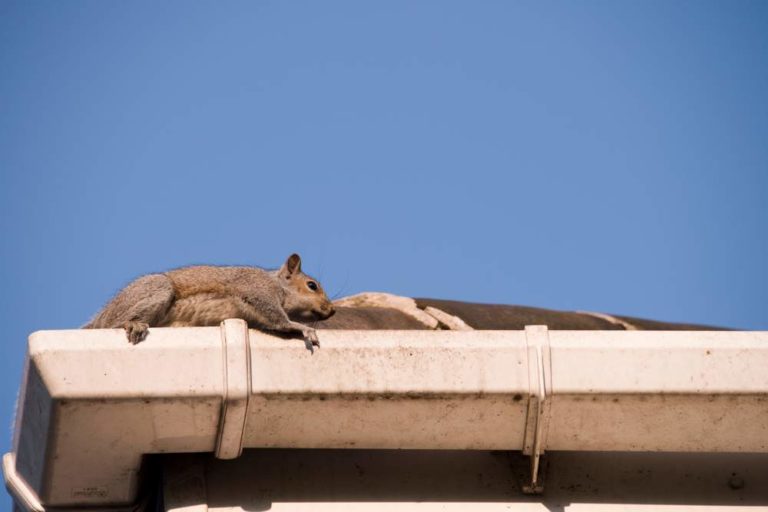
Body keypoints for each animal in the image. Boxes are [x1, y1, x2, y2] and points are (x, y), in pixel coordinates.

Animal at [83, 253, 335, 348]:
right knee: (115, 324)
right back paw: (133, 324)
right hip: (156, 289)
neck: (278, 285)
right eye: (312, 285)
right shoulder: (256, 289)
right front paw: (303, 328)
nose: (331, 310)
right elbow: (278, 318)